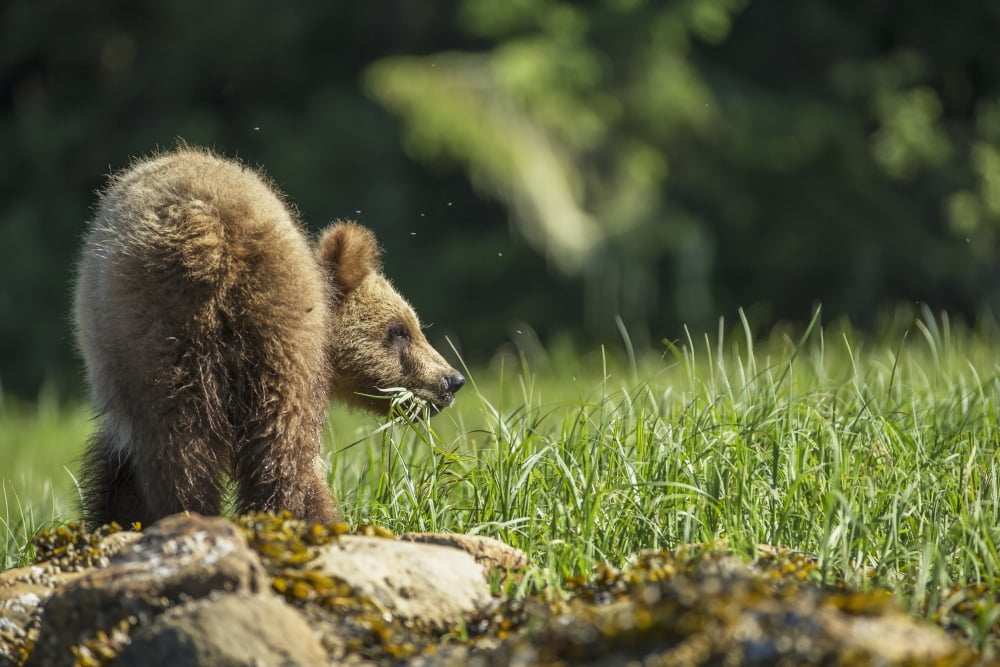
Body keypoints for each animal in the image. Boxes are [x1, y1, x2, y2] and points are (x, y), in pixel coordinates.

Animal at [73, 146, 465, 528]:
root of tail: (212, 235)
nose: (452, 380)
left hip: (205, 331)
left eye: (411, 325)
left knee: (215, 440)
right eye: (399, 330)